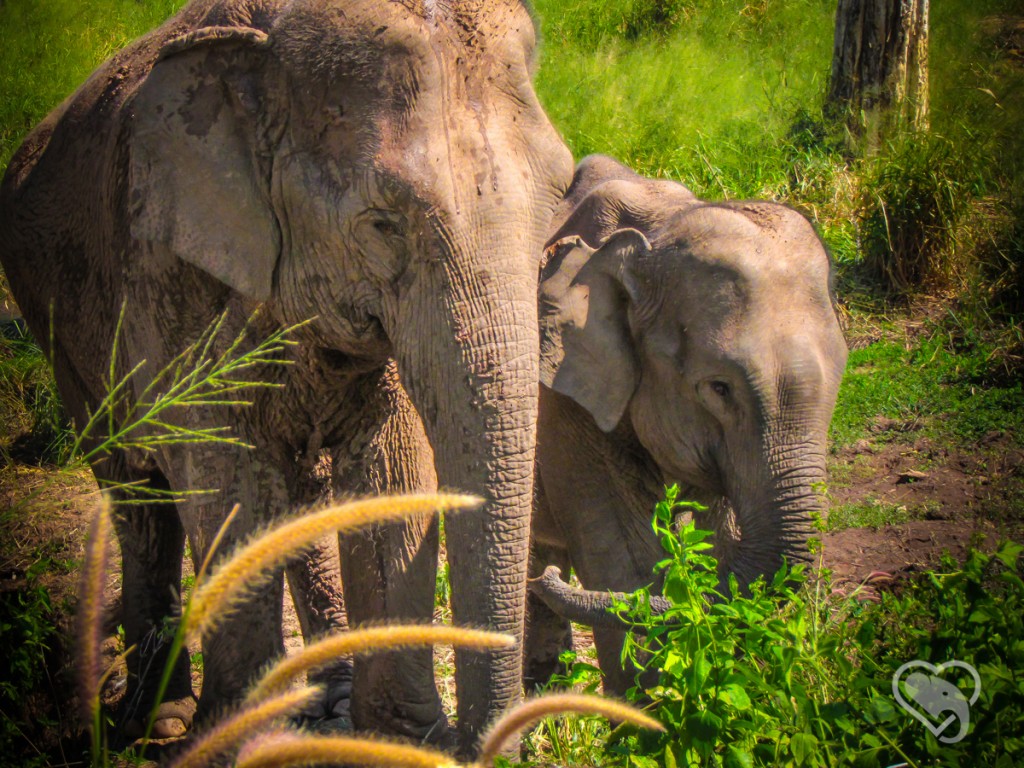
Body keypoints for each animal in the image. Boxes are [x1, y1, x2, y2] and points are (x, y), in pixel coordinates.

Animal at [0, 0, 573, 753]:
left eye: (559, 199)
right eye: (383, 223)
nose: (488, 746)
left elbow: (392, 469)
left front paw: (400, 740)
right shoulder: (163, 260)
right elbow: (226, 478)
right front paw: (239, 743)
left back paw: (325, 699)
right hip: (56, 319)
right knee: (137, 491)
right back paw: (163, 719)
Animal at [522, 155, 848, 693]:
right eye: (719, 388)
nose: (548, 580)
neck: (653, 234)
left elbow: (713, 540)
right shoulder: (562, 402)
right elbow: (624, 563)